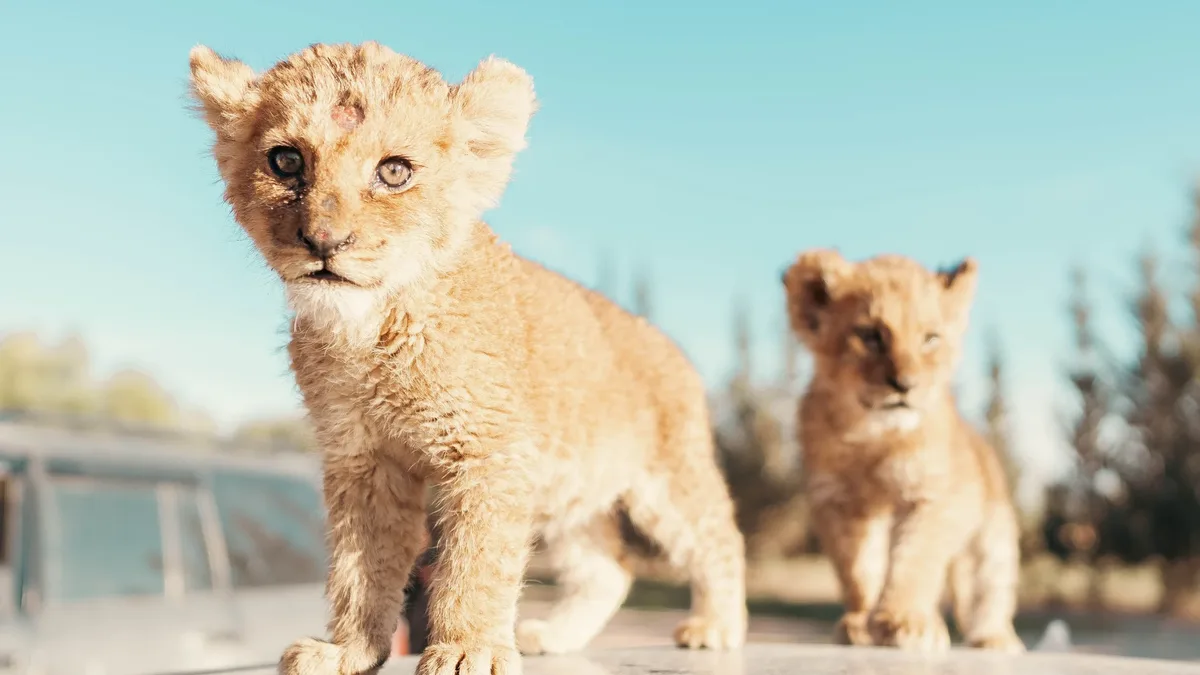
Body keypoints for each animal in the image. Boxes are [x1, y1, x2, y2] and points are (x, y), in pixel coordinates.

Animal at [187, 41, 747, 675]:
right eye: (285, 161)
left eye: (395, 171)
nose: (324, 242)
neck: (369, 328)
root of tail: (666, 341)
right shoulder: (364, 459)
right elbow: (361, 565)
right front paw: (347, 651)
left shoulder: (489, 449)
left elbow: (476, 558)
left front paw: (466, 649)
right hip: (571, 492)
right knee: (609, 569)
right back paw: (554, 636)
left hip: (667, 478)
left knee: (719, 539)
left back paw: (715, 626)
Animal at [781, 249, 1024, 654]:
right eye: (871, 336)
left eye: (930, 339)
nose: (905, 385)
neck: (872, 435)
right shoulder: (837, 504)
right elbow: (859, 569)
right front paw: (860, 623)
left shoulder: (932, 498)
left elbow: (914, 560)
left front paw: (904, 621)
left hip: (990, 540)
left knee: (987, 593)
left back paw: (994, 638)